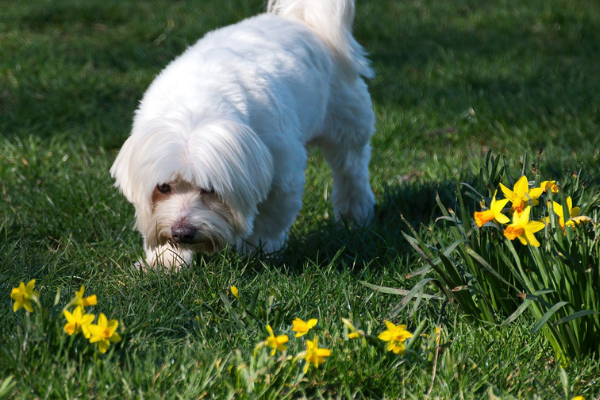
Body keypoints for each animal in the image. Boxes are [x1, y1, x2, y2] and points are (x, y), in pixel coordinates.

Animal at [109, 0, 376, 268]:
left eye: (210, 189)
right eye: (162, 187)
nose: (182, 233)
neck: (195, 107)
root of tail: (302, 21)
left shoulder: (282, 175)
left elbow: (269, 221)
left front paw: (258, 253)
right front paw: (165, 261)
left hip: (346, 124)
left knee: (351, 170)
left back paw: (354, 215)